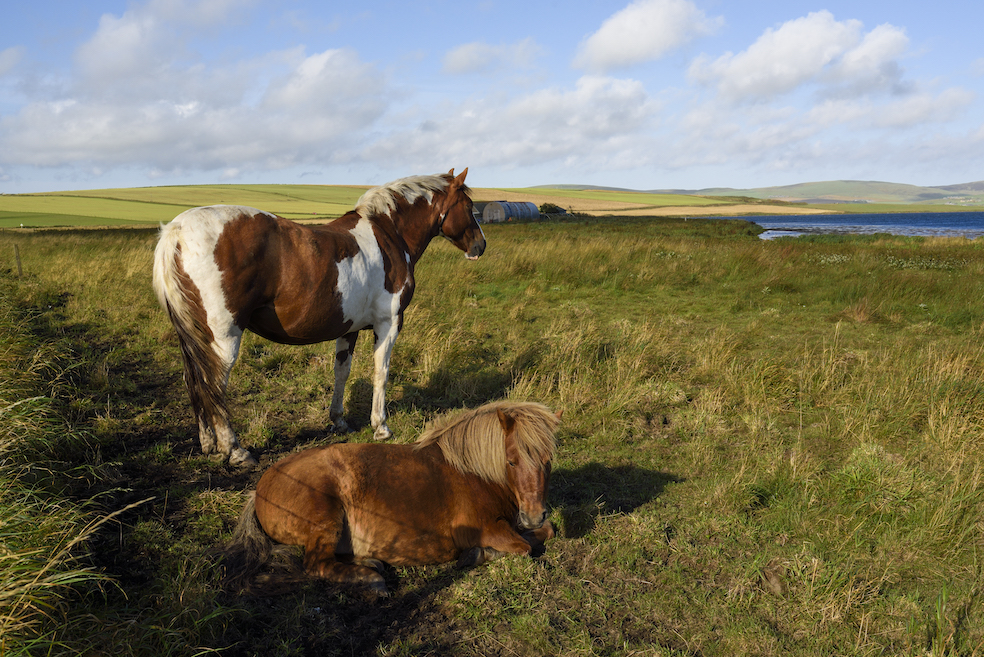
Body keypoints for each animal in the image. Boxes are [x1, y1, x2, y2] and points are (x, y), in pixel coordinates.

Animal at [153, 169, 485, 466]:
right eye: (470, 206)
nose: (479, 246)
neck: (389, 235)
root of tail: (177, 231)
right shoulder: (388, 324)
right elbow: (381, 372)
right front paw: (381, 427)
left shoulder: (349, 328)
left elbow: (342, 372)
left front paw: (339, 421)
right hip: (223, 339)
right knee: (214, 385)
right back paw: (235, 450)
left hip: (194, 337)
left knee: (194, 380)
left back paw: (208, 444)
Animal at [219, 400, 561, 595]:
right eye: (512, 461)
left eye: (548, 460)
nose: (533, 513)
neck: (473, 472)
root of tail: (260, 489)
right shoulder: (486, 528)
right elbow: (523, 547)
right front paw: (478, 554)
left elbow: (546, 532)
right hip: (325, 518)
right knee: (316, 564)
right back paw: (369, 579)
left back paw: (370, 562)